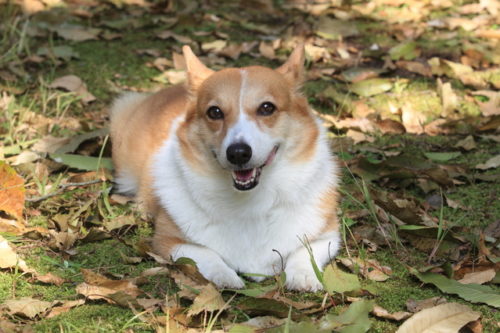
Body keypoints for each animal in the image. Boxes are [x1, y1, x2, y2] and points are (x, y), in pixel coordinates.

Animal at [109, 44, 340, 290]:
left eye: (267, 108)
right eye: (215, 112)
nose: (238, 153)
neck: (250, 200)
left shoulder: (328, 235)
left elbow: (305, 251)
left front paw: (303, 275)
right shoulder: (168, 240)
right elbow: (204, 254)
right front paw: (224, 275)